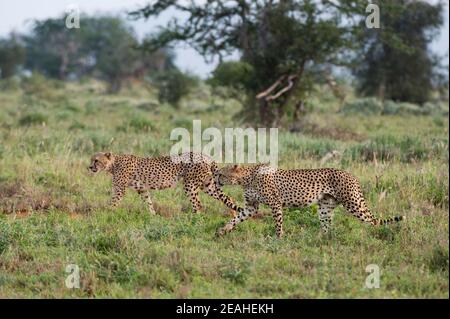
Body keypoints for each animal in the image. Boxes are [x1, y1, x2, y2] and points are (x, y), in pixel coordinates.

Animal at [88, 152, 243, 215]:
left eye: (96, 160)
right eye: (91, 159)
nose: (89, 167)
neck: (113, 164)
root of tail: (205, 155)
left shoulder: (120, 189)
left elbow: (112, 202)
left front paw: (105, 214)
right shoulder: (142, 189)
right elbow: (148, 202)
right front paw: (153, 216)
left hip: (190, 184)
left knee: (198, 204)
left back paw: (192, 221)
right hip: (207, 185)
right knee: (228, 198)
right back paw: (233, 214)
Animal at [214, 165, 404, 238]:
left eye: (222, 173)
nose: (216, 180)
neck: (247, 178)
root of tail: (349, 174)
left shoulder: (275, 204)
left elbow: (278, 224)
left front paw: (278, 238)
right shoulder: (251, 207)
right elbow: (236, 217)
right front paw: (223, 230)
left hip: (353, 203)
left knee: (373, 221)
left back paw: (376, 237)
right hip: (325, 207)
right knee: (327, 227)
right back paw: (318, 238)